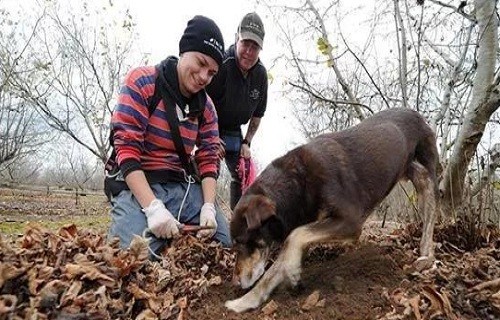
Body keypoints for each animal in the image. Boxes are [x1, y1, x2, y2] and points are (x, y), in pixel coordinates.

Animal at [226, 107, 438, 312]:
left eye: (241, 242)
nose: (234, 282)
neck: (298, 182)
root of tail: (415, 113)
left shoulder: (350, 222)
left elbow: (294, 236)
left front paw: (292, 273)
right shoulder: (311, 228)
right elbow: (276, 266)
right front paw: (244, 302)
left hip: (426, 176)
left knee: (431, 216)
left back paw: (427, 256)